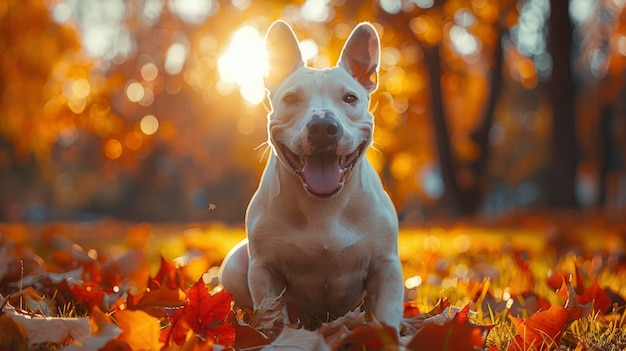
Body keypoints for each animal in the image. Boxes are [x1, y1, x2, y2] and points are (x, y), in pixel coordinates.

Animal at [219, 20, 402, 332]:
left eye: (350, 98)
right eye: (291, 98)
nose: (323, 126)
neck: (323, 205)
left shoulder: (386, 266)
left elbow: (386, 314)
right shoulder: (264, 270)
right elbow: (273, 316)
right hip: (233, 265)